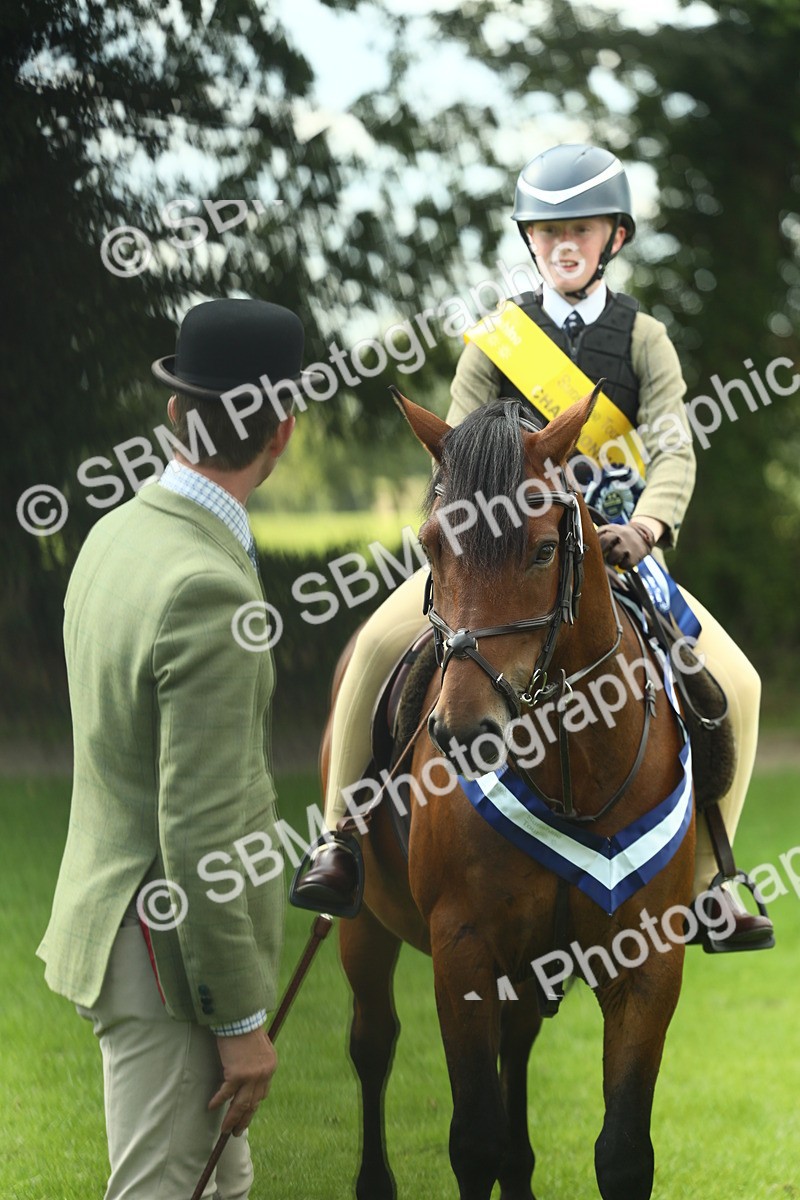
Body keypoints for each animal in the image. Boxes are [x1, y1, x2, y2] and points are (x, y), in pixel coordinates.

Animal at [322, 387, 695, 1200]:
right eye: (434, 544)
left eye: (544, 549)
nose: (465, 731)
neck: (571, 767)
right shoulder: (461, 949)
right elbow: (474, 1142)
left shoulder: (647, 965)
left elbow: (624, 1151)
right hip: (364, 927)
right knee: (373, 1045)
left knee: (515, 1045)